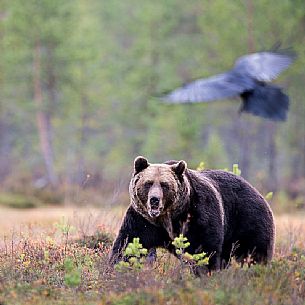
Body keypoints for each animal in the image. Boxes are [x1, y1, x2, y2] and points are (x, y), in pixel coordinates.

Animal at [108, 156, 274, 270]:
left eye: (164, 185)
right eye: (148, 183)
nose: (154, 200)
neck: (168, 217)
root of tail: (256, 190)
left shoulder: (198, 215)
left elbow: (205, 249)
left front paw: (205, 271)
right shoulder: (143, 221)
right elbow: (127, 244)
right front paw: (116, 267)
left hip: (248, 219)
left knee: (253, 252)